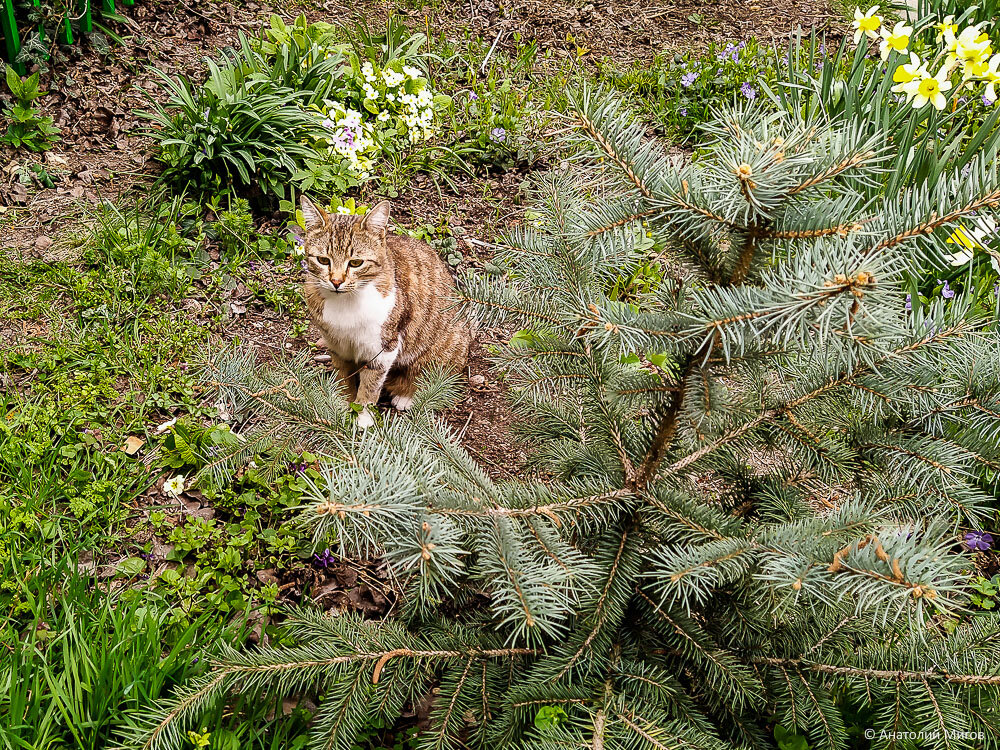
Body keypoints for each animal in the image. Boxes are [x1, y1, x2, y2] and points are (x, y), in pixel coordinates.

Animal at [298, 197, 470, 428]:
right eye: (323, 260)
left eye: (356, 262)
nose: (336, 281)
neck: (345, 301)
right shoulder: (336, 344)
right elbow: (343, 375)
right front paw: (341, 405)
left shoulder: (383, 347)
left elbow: (371, 383)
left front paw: (362, 417)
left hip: (444, 346)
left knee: (437, 376)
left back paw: (407, 394)